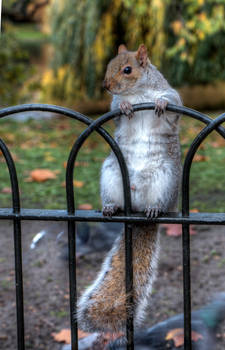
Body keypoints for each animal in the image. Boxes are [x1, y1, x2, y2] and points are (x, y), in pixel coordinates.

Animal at [76, 43, 182, 334]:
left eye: (127, 69)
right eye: (109, 65)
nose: (106, 85)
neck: (137, 93)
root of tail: (136, 209)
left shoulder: (172, 97)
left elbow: (172, 103)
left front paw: (160, 103)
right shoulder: (116, 113)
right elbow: (117, 109)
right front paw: (123, 104)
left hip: (166, 178)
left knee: (158, 203)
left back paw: (155, 209)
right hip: (111, 172)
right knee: (115, 199)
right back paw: (111, 207)